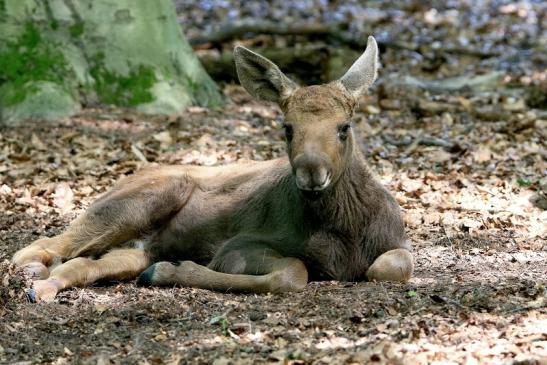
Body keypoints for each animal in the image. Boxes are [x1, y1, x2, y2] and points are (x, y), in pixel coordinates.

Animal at [11, 36, 416, 302]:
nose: (311, 173)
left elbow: (393, 266)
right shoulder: (238, 246)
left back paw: (43, 286)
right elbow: (292, 272)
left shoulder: (396, 244)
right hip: (137, 202)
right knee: (42, 246)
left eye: (344, 127)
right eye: (287, 127)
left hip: (136, 247)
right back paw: (34, 275)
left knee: (82, 262)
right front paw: (171, 272)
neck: (343, 230)